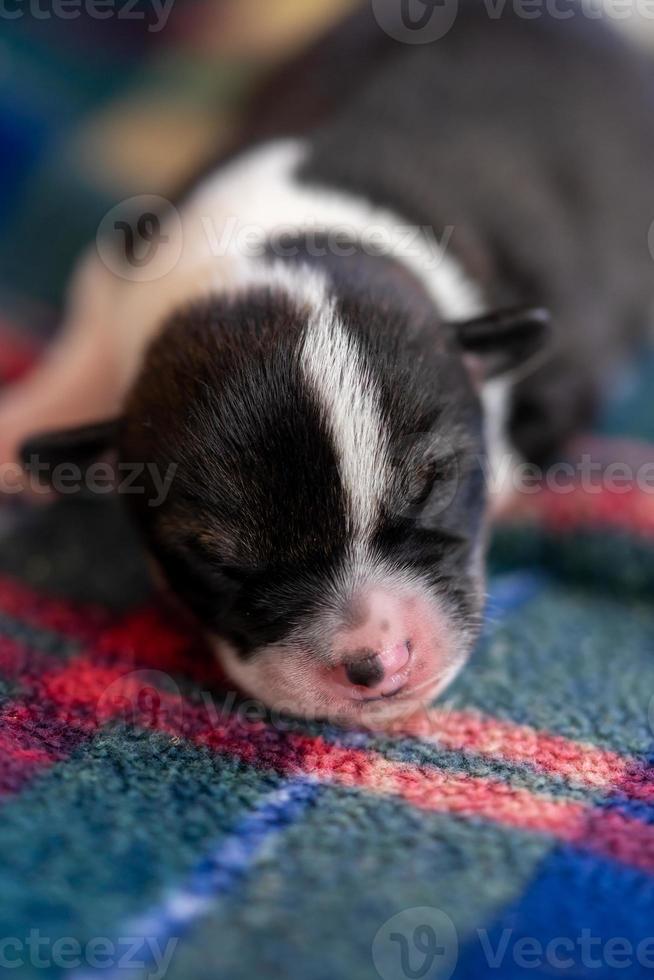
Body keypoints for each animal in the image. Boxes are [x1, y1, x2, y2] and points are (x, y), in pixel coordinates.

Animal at [6, 0, 654, 724]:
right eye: (218, 561)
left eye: (432, 486)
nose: (376, 664)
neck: (283, 245)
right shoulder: (122, 262)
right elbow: (87, 335)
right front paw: (23, 423)